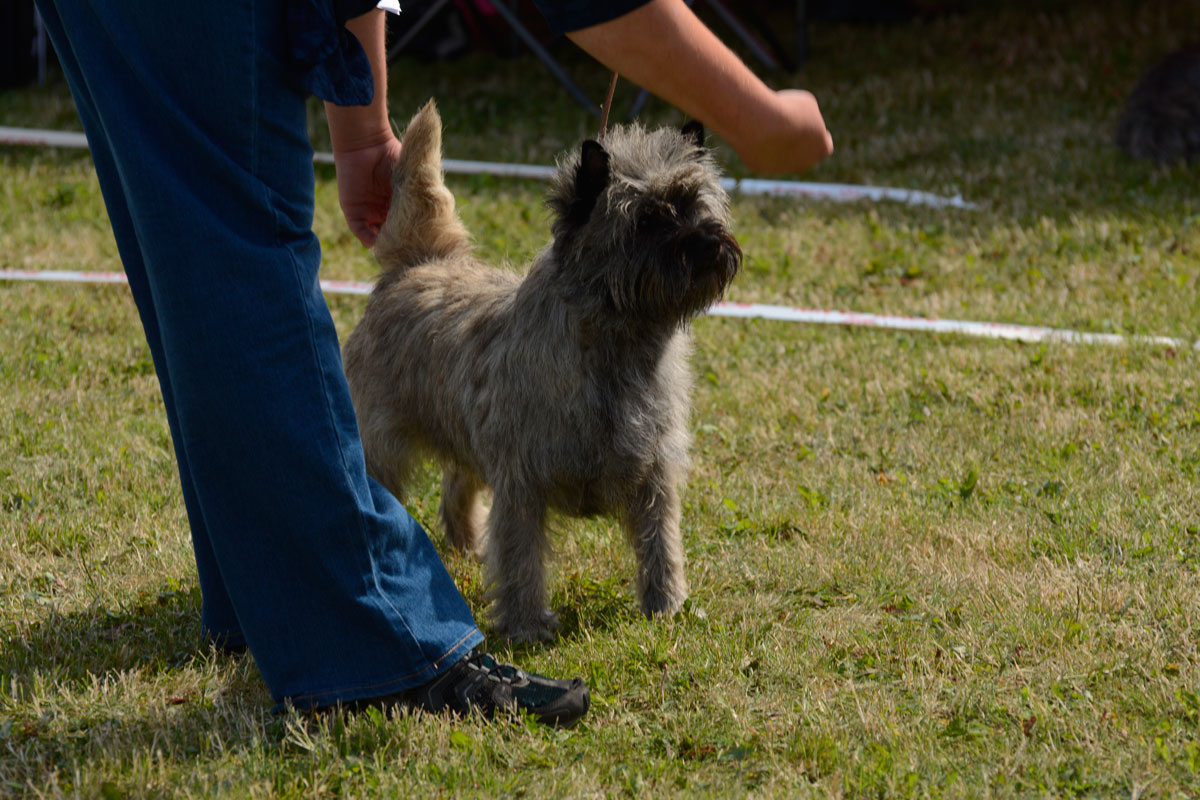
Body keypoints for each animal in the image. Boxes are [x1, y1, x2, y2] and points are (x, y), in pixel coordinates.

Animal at [343, 100, 739, 642]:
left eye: (699, 203)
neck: (619, 349)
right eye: (648, 218)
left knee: (457, 481)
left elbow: (661, 542)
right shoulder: (521, 483)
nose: (709, 243)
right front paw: (528, 625)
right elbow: (522, 557)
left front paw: (666, 605)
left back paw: (468, 542)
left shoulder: (655, 472)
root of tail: (417, 263)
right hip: (381, 446)